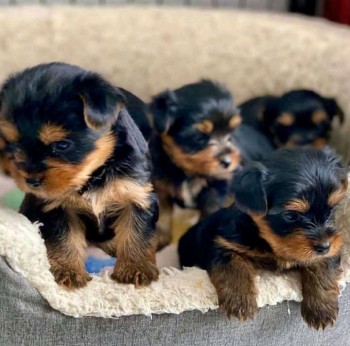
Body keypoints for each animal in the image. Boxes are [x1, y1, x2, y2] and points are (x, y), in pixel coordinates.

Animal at [0, 62, 159, 290]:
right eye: (15, 145)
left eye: (61, 145)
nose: (31, 181)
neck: (94, 174)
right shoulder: (56, 206)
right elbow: (64, 238)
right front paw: (68, 271)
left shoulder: (136, 194)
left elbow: (137, 232)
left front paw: (135, 268)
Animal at [149, 80, 272, 249]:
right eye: (200, 138)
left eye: (229, 134)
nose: (228, 162)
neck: (188, 171)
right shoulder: (161, 185)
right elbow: (164, 212)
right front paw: (160, 237)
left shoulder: (216, 191)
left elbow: (207, 215)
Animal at [179, 147, 348, 330]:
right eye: (291, 215)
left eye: (331, 209)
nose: (324, 246)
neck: (269, 243)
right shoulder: (222, 244)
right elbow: (232, 265)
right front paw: (240, 302)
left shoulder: (331, 246)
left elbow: (321, 264)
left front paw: (322, 308)